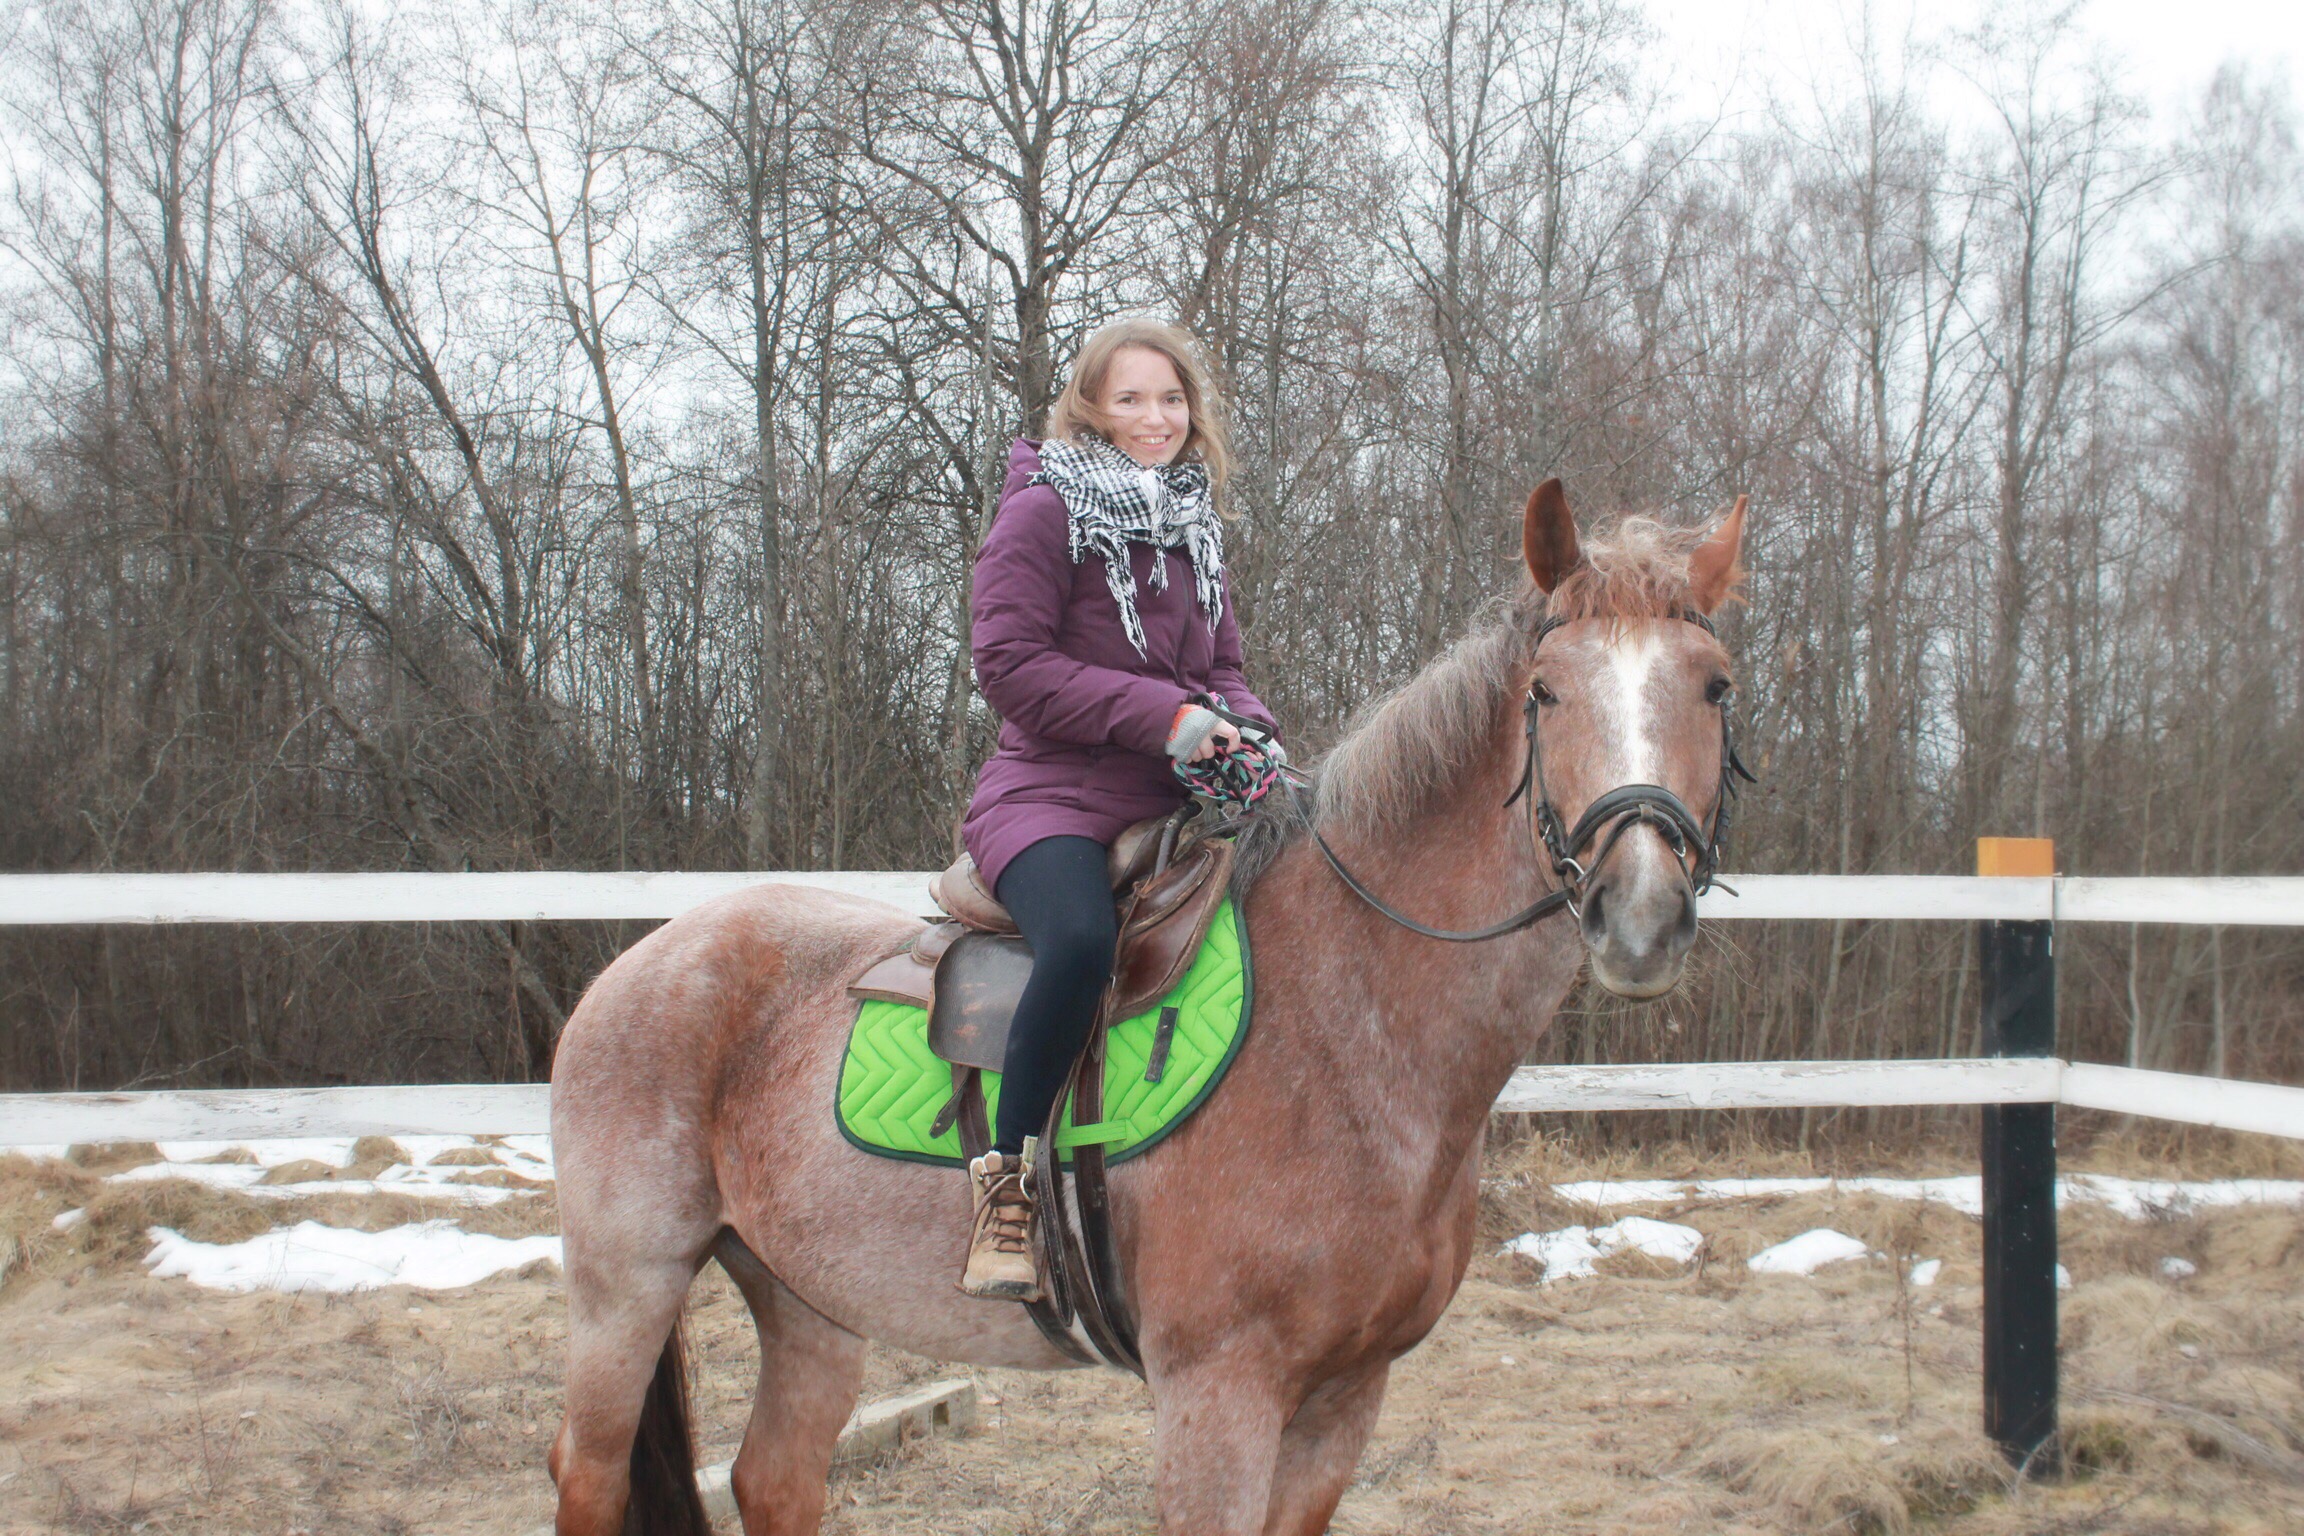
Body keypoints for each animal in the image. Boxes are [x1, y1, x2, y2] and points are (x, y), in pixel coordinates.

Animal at [548, 474, 1751, 1529]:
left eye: (1716, 686)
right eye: (1546, 692)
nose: (1640, 914)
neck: (1351, 1030)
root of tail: (647, 959)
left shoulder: (1346, 1399)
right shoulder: (1217, 1393)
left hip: (807, 1297)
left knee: (776, 1479)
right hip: (625, 1290)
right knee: (588, 1475)